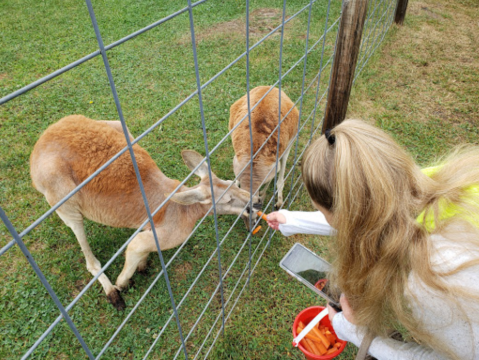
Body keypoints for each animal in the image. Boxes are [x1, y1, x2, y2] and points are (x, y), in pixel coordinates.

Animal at [29, 114, 262, 310]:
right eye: (228, 199)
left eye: (234, 184)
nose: (257, 201)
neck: (182, 207)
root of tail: (40, 143)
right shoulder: (168, 234)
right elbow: (135, 246)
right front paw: (123, 282)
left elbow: (142, 245)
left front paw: (142, 265)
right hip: (61, 194)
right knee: (89, 257)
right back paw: (113, 292)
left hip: (117, 126)